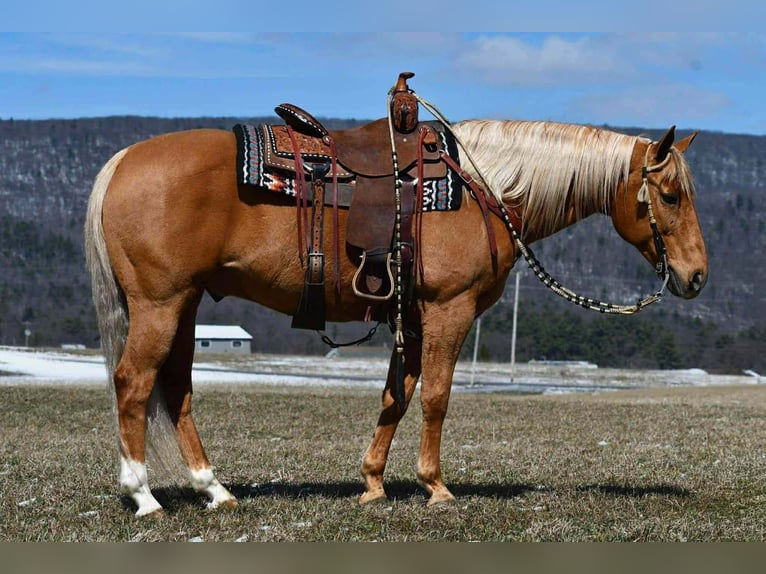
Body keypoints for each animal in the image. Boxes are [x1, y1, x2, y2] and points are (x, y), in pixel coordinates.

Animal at [84, 115, 707, 516]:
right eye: (670, 195)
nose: (696, 276)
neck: (485, 188)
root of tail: (123, 161)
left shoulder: (411, 317)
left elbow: (396, 397)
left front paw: (373, 484)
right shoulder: (449, 310)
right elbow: (435, 397)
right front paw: (436, 488)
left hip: (185, 304)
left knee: (176, 389)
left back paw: (214, 490)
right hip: (161, 304)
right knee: (134, 382)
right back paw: (144, 496)